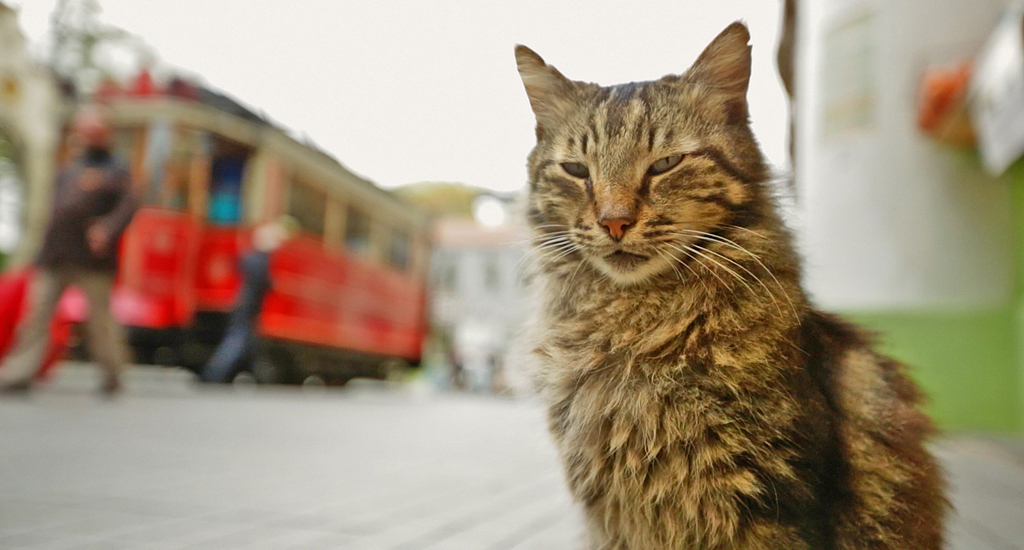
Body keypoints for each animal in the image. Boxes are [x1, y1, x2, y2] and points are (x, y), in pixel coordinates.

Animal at [516, 20, 946, 544]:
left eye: (665, 165)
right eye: (577, 170)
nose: (614, 222)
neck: (631, 325)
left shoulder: (771, 498)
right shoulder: (611, 516)